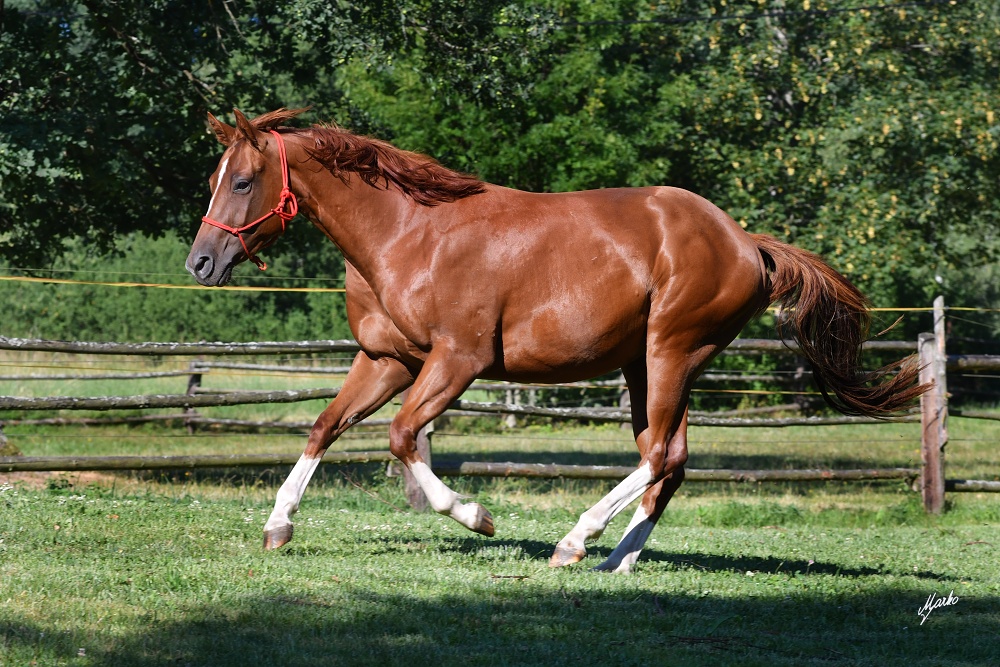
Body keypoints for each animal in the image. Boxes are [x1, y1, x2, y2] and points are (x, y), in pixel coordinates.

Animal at [186, 109, 920, 576]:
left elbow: (400, 435)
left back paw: (575, 540)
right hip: (647, 366)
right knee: (672, 459)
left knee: (658, 455)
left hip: (671, 351)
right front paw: (278, 526)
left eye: (243, 181)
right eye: (215, 179)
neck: (410, 235)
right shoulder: (388, 360)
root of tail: (746, 243)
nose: (200, 262)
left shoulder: (458, 360)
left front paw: (476, 516)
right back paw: (617, 560)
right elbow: (323, 426)